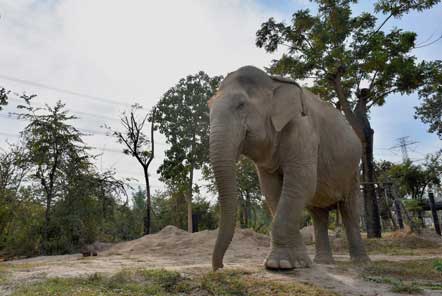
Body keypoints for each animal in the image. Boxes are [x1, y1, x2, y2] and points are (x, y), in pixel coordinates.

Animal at [208, 65, 370, 270]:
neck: (273, 82)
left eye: (241, 105)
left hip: (353, 170)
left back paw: (361, 263)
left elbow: (302, 182)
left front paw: (279, 264)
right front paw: (298, 262)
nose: (219, 267)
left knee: (350, 210)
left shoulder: (303, 130)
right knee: (319, 215)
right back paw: (322, 262)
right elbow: (271, 191)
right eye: (209, 107)